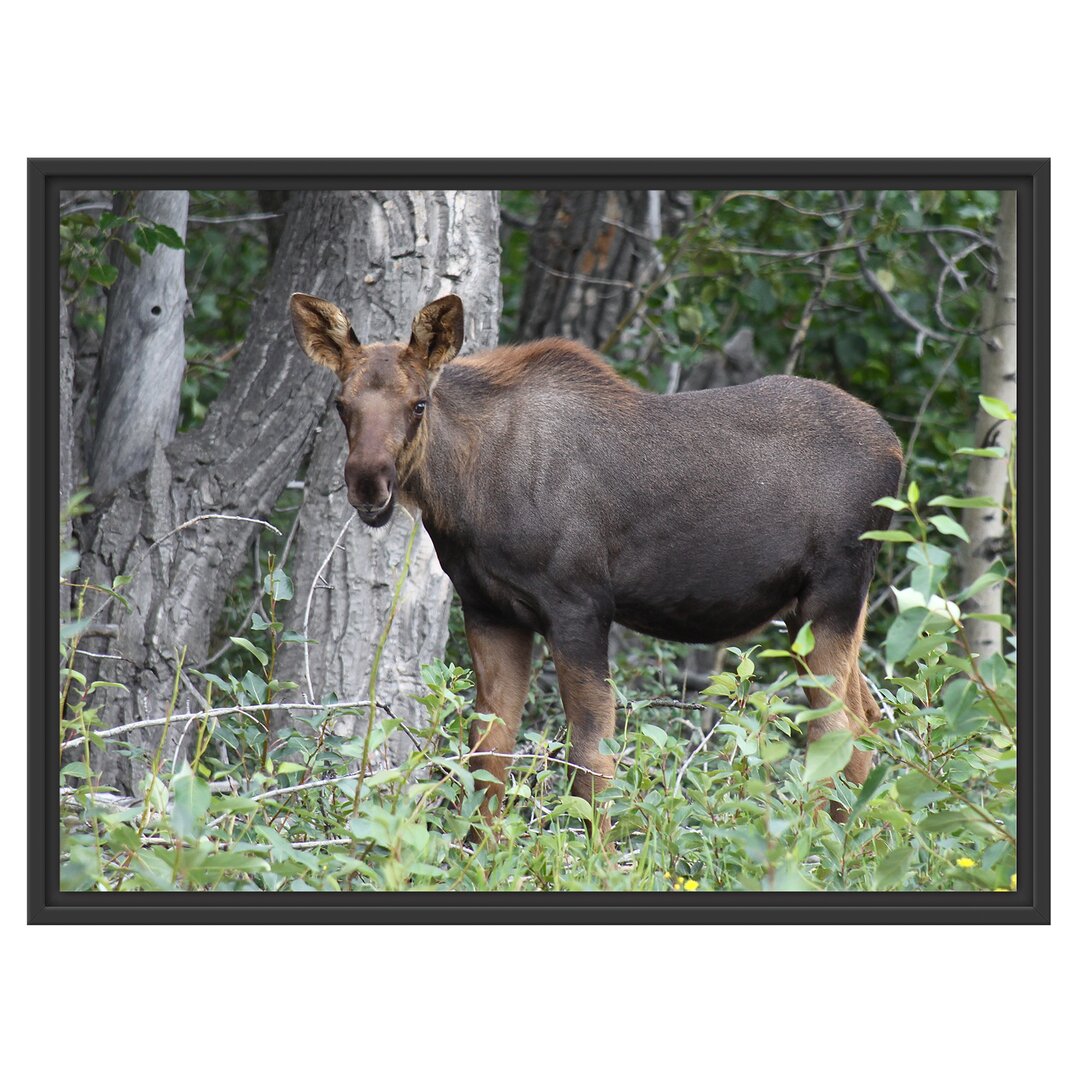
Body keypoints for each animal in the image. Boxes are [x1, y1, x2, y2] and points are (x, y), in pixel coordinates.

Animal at [289, 291, 902, 820]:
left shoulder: (580, 606)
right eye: (341, 405)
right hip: (811, 611)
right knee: (866, 719)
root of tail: (895, 448)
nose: (368, 485)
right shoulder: (490, 610)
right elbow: (488, 754)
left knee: (835, 727)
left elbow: (589, 760)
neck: (465, 498)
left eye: (419, 404)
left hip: (834, 594)